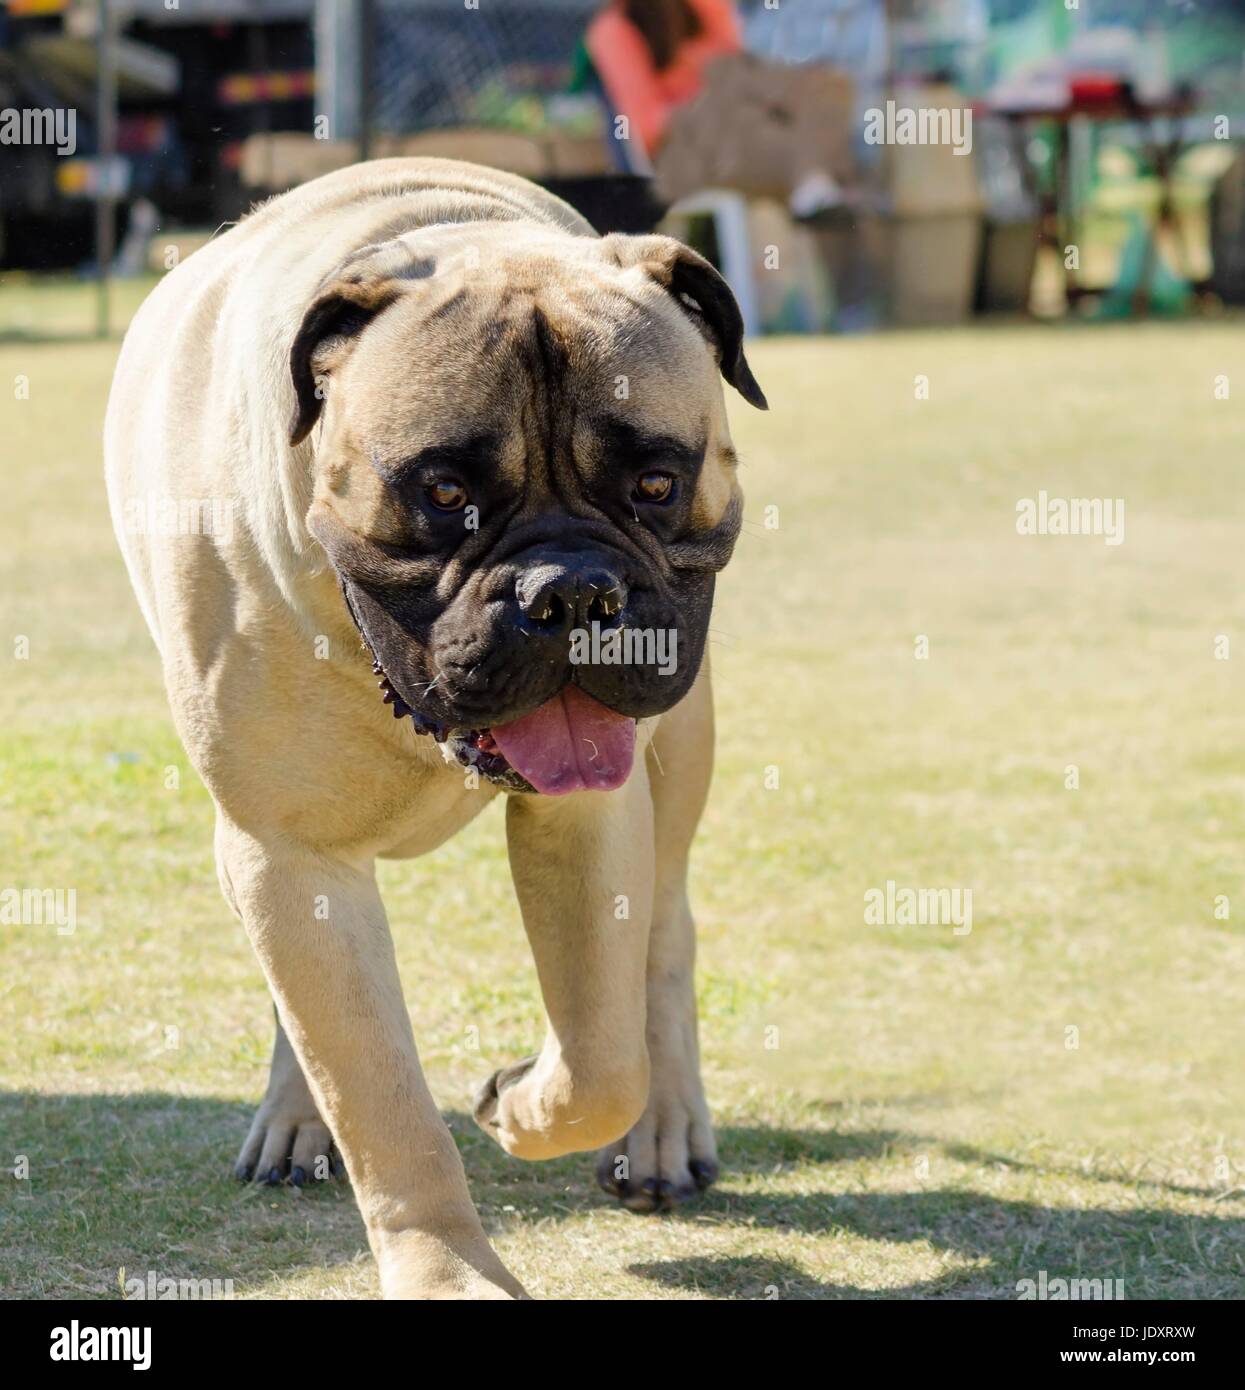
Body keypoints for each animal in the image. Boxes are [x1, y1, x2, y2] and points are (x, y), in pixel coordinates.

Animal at [104, 162, 767, 1301]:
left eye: (654, 483)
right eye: (444, 491)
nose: (569, 590)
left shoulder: (589, 822)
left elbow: (601, 1052)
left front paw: (523, 1100)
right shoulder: (285, 852)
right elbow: (378, 1096)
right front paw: (449, 1270)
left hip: (681, 743)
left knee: (664, 939)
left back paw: (663, 1132)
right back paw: (297, 1118)